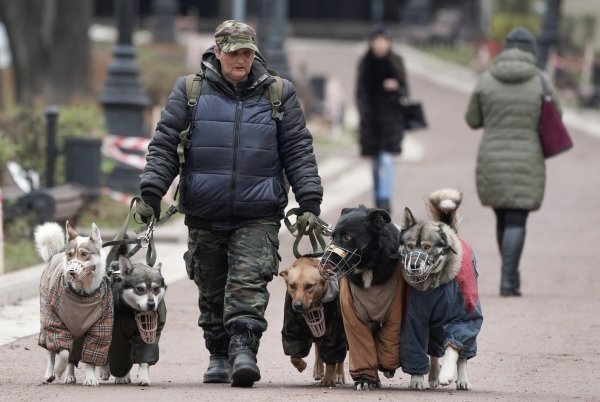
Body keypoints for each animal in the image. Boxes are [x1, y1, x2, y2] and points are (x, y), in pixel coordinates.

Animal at [35, 221, 113, 384]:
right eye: (70, 255)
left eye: (84, 254)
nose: (71, 271)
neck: (82, 295)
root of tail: (54, 255)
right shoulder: (56, 320)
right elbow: (63, 352)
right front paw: (59, 369)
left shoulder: (100, 326)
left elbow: (91, 353)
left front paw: (90, 378)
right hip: (45, 313)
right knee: (51, 350)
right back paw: (51, 372)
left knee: (73, 354)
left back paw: (70, 375)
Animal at [105, 254, 166, 386]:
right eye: (140, 289)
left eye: (156, 289)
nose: (151, 304)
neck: (132, 312)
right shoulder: (117, 335)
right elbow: (119, 357)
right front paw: (121, 375)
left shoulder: (149, 332)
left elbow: (145, 356)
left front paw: (143, 377)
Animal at [280, 258, 346, 386]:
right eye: (292, 285)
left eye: (309, 286)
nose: (297, 305)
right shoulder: (293, 330)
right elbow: (294, 355)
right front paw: (301, 365)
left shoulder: (335, 331)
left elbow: (332, 357)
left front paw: (328, 378)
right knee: (318, 348)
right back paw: (318, 369)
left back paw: (339, 374)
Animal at [318, 206, 404, 392]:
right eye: (332, 236)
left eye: (347, 237)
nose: (324, 262)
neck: (368, 267)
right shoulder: (353, 314)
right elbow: (362, 345)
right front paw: (364, 379)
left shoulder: (395, 313)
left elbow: (386, 340)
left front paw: (385, 368)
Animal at [400, 188, 486, 390]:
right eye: (409, 246)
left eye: (427, 247)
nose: (413, 265)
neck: (433, 285)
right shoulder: (414, 319)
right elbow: (416, 348)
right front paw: (417, 379)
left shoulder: (462, 319)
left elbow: (453, 348)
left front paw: (447, 373)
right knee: (433, 351)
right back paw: (432, 375)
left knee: (463, 354)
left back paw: (462, 379)